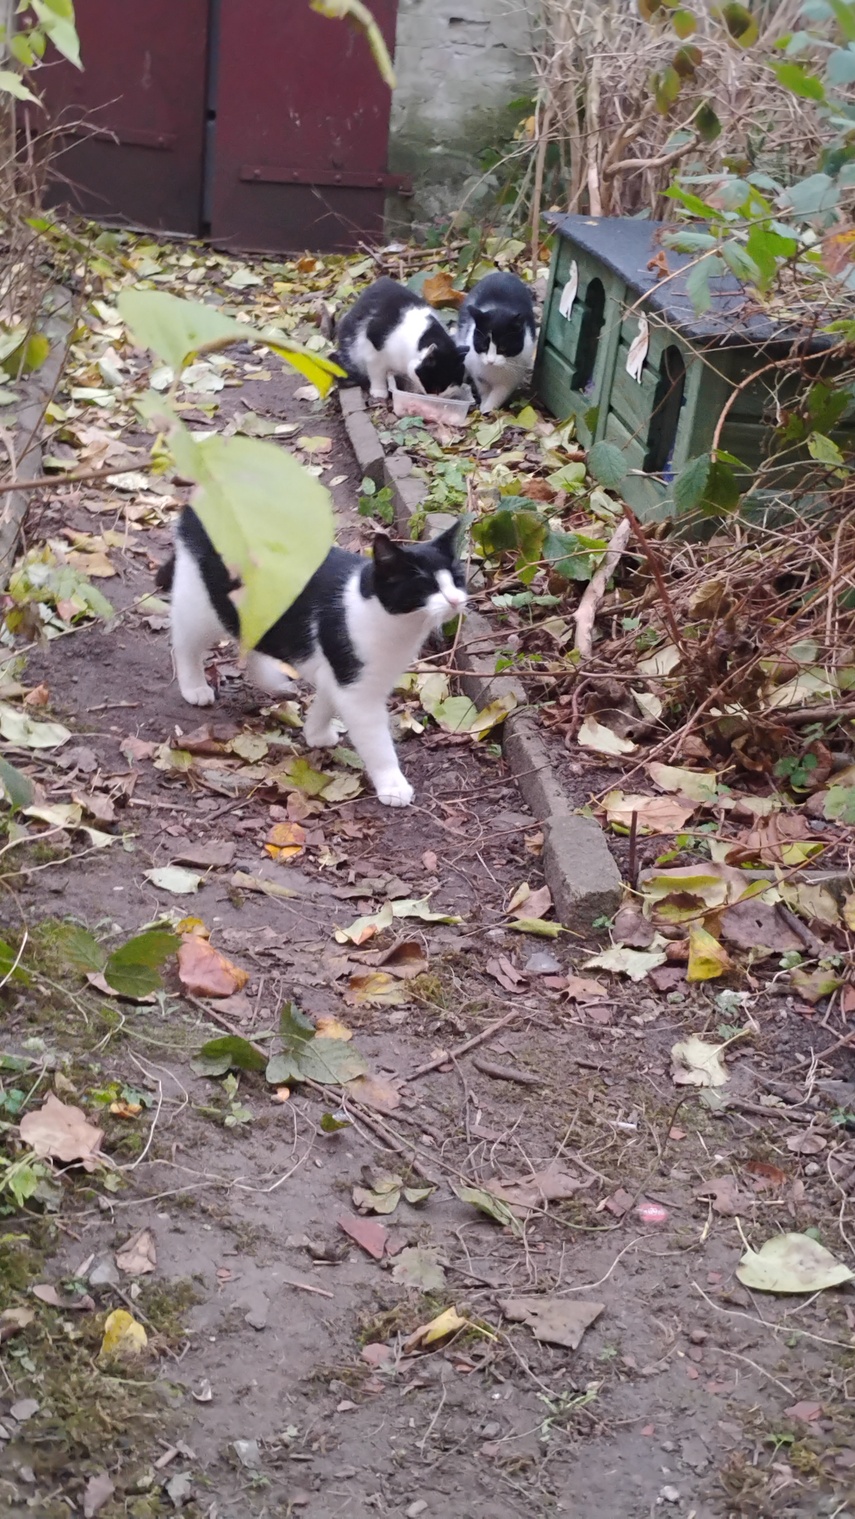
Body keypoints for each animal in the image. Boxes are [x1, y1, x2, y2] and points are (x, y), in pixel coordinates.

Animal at [160, 513, 467, 808]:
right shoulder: (357, 688)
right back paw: (194, 687)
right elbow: (377, 742)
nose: (455, 600)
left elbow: (326, 701)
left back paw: (272, 680)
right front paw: (392, 785)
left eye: (457, 579)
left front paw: (316, 733)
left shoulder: (341, 674)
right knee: (185, 641)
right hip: (201, 605)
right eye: (425, 586)